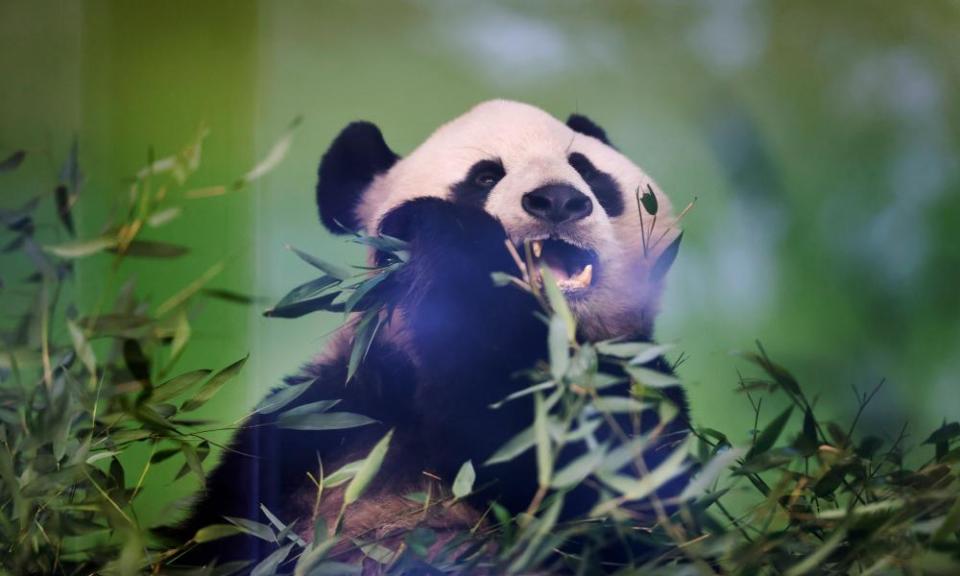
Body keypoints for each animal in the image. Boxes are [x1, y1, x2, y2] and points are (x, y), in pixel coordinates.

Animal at [174, 101, 688, 568]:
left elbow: (593, 490)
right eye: (485, 177)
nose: (559, 200)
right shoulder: (320, 421)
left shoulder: (638, 392)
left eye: (586, 170)